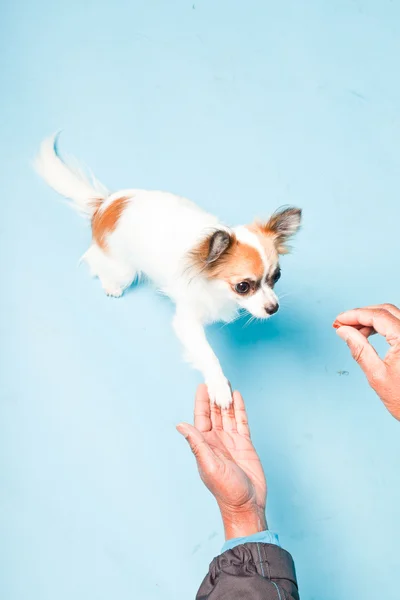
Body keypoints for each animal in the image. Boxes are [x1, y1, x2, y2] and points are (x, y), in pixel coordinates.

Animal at [36, 134, 302, 408]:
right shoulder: (187, 320)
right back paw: (111, 284)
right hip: (123, 268)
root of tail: (106, 205)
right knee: (96, 263)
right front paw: (218, 385)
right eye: (243, 287)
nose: (273, 308)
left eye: (277, 277)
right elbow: (207, 354)